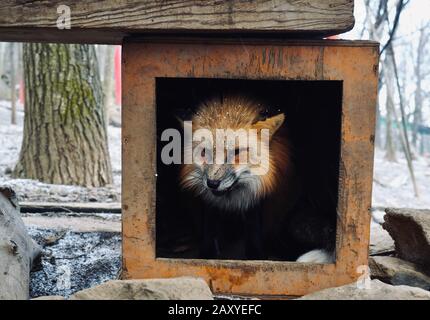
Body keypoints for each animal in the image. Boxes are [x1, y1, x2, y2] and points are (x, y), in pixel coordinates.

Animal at [178, 95, 336, 262]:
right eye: (204, 152)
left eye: (236, 152)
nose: (213, 183)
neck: (232, 202)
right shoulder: (210, 205)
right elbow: (209, 230)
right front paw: (207, 255)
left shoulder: (257, 197)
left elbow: (254, 231)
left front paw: (255, 256)